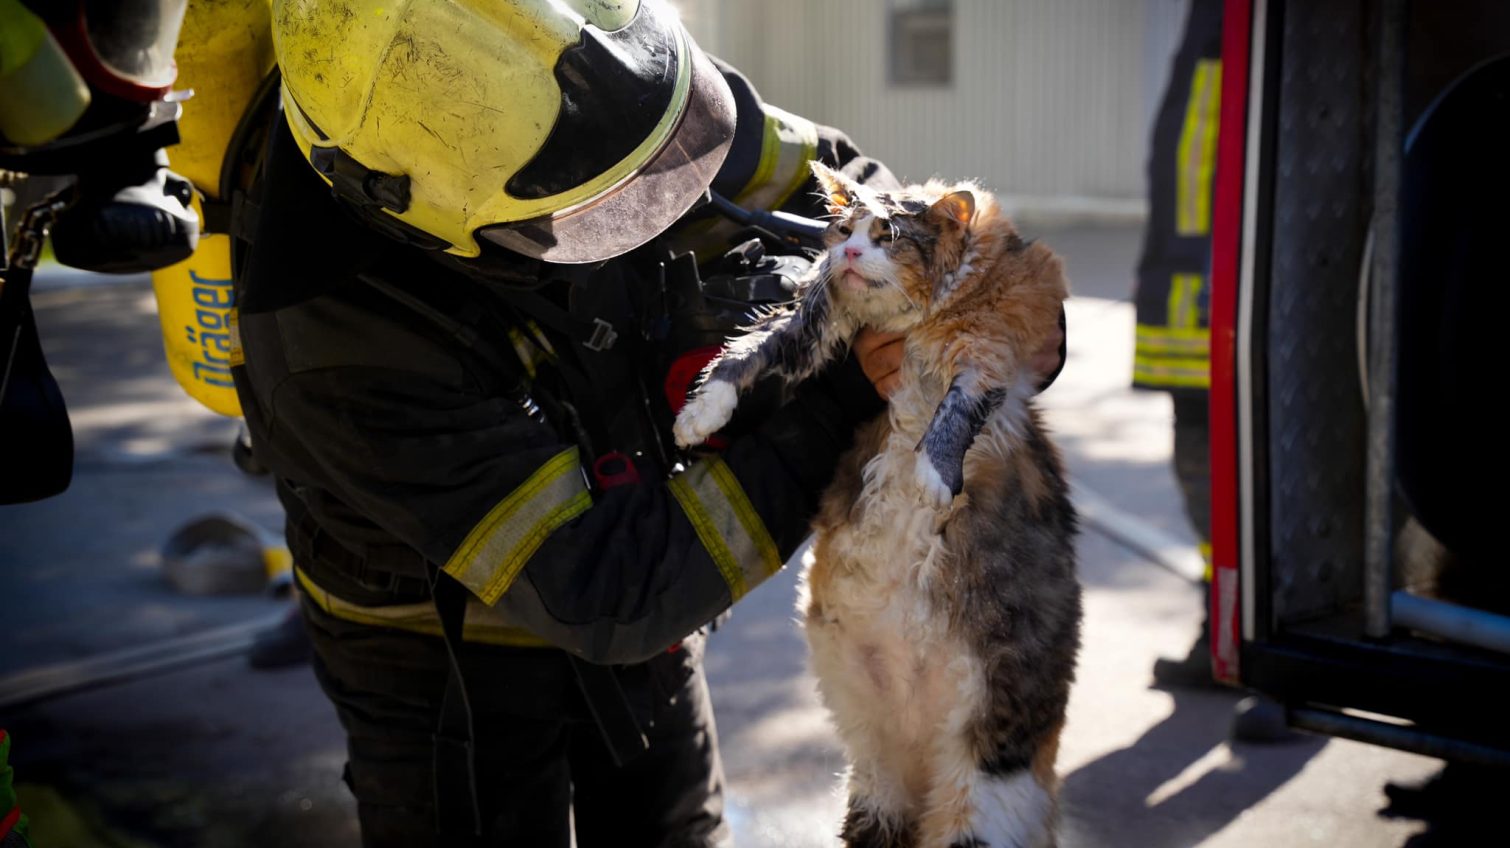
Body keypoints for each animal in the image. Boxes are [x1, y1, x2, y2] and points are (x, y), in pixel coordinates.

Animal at [676, 159, 1087, 844]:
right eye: (843, 228)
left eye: (887, 234)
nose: (846, 252)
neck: (914, 326)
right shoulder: (812, 326)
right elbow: (745, 354)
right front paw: (697, 415)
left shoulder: (989, 354)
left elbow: (953, 413)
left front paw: (931, 480)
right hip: (874, 784)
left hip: (984, 792)